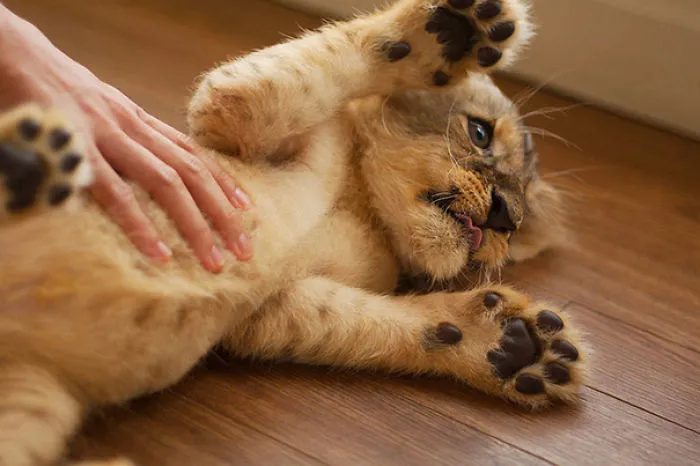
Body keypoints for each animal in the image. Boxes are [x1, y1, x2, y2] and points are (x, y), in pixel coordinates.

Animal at [0, 0, 586, 464]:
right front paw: (451, 31)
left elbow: (366, 321)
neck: (362, 205)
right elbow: (298, 75)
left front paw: (515, 347)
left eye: (522, 218)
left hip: (33, 398)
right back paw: (30, 159)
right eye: (480, 133)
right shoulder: (224, 122)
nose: (505, 216)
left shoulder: (270, 309)